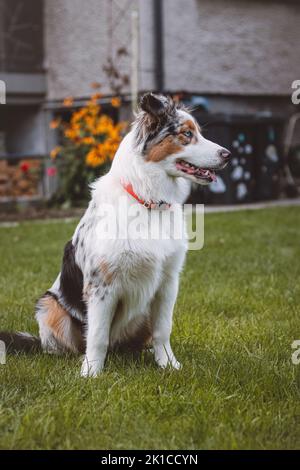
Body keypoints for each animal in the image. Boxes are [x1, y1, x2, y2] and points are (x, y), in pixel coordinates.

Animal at [0, 93, 230, 376]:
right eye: (187, 134)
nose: (228, 154)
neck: (148, 201)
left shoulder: (168, 282)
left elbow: (163, 330)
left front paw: (169, 365)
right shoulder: (102, 287)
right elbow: (97, 336)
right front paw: (91, 373)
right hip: (49, 305)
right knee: (67, 346)